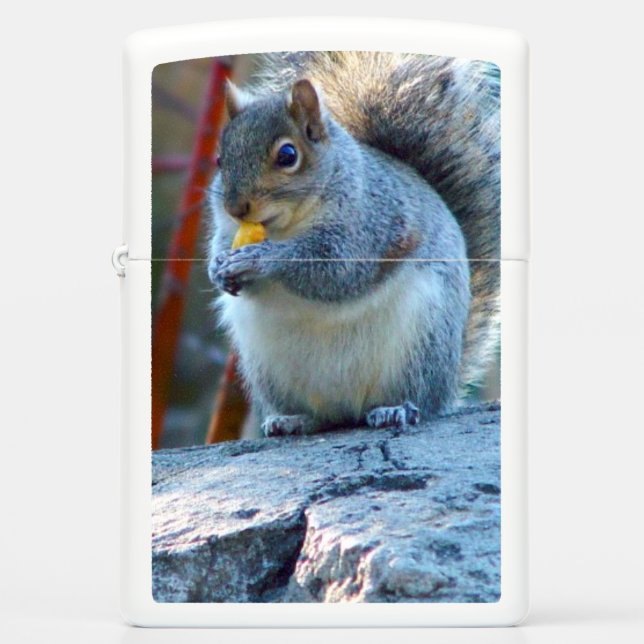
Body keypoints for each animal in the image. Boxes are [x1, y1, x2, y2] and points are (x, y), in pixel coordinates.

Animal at [207, 52, 500, 437]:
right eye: (220, 159)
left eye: (288, 156)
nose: (236, 207)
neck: (287, 225)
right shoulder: (227, 229)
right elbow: (222, 248)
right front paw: (217, 268)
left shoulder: (370, 223)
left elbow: (336, 271)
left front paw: (261, 258)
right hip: (265, 367)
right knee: (320, 417)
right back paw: (293, 419)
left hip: (421, 345)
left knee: (417, 399)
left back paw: (395, 409)